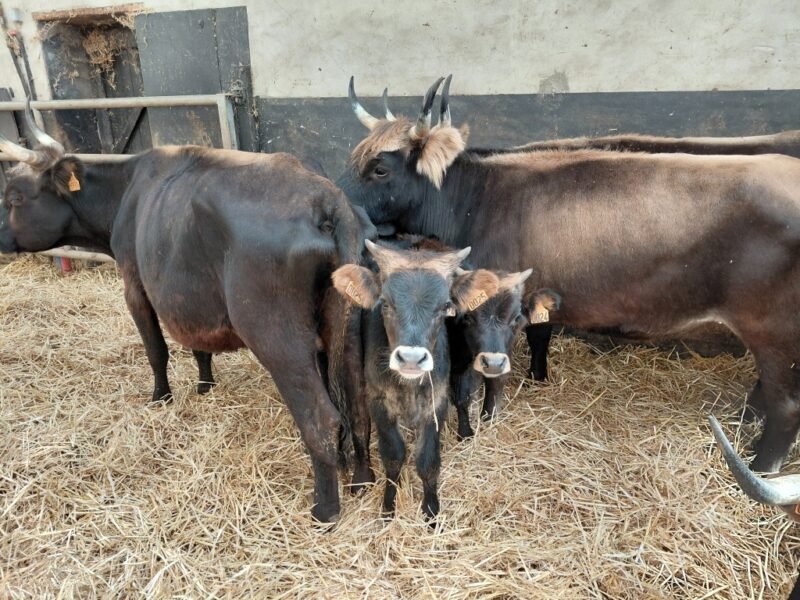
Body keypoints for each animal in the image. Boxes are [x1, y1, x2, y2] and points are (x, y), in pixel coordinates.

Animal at [0, 105, 372, 522]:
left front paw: (160, 397)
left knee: (320, 416)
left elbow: (156, 350)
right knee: (358, 405)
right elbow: (199, 345)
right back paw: (361, 479)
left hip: (278, 337)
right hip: (347, 330)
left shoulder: (135, 284)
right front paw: (205, 385)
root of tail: (327, 199)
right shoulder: (191, 298)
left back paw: (325, 509)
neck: (126, 191)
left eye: (14, 197)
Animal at [332, 240, 500, 520]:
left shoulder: (436, 403)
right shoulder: (379, 404)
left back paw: (465, 431)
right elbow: (393, 456)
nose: (411, 358)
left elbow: (428, 460)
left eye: (445, 307)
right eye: (385, 304)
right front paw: (389, 505)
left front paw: (431, 509)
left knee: (462, 396)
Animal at [337, 76, 800, 474]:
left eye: (380, 168)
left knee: (787, 406)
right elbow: (541, 332)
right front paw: (539, 377)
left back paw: (759, 470)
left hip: (775, 330)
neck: (477, 199)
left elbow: (495, 364)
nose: (339, 202)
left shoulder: (501, 293)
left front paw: (490, 414)